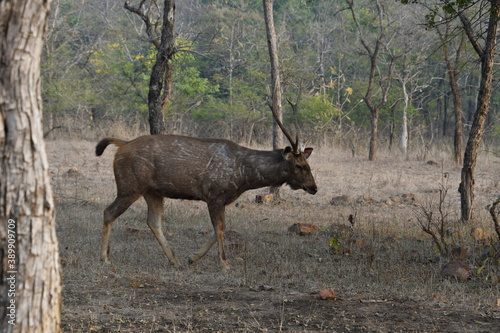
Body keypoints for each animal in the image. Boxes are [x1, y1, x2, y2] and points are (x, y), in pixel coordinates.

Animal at [97, 110, 316, 268]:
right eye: (299, 165)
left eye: (308, 164)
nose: (313, 187)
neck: (244, 176)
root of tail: (122, 145)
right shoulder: (214, 194)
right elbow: (219, 228)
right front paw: (225, 264)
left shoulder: (221, 199)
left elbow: (219, 228)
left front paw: (192, 258)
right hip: (130, 186)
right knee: (109, 212)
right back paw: (104, 258)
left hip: (153, 191)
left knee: (153, 221)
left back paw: (174, 260)